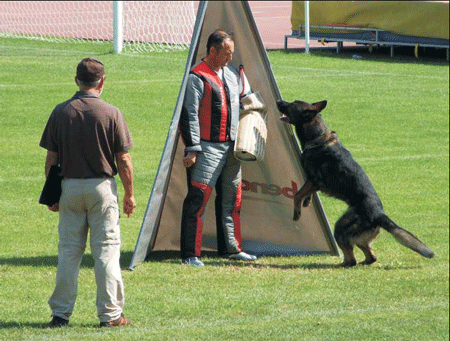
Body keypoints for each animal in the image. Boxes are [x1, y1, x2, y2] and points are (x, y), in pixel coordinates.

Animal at [276, 98, 434, 266]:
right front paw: (307, 202)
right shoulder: (312, 182)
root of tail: (379, 215)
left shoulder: (315, 181)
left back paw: (342, 264)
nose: (279, 101)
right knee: (370, 256)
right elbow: (305, 193)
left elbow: (297, 194)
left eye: (292, 104)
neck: (317, 137)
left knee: (352, 259)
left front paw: (297, 212)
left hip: (340, 229)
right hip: (354, 233)